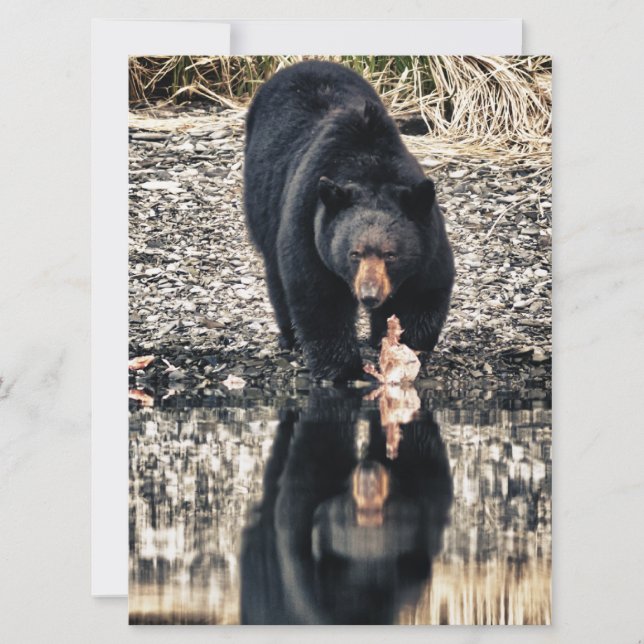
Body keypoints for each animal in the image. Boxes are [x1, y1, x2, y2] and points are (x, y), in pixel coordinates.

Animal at [244, 60, 454, 381]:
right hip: (263, 203)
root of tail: (306, 63)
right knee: (276, 271)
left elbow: (423, 292)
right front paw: (344, 370)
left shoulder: (427, 235)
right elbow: (319, 298)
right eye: (354, 254)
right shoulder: (309, 223)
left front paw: (405, 352)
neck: (369, 164)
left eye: (391, 255)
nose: (369, 295)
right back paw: (290, 337)